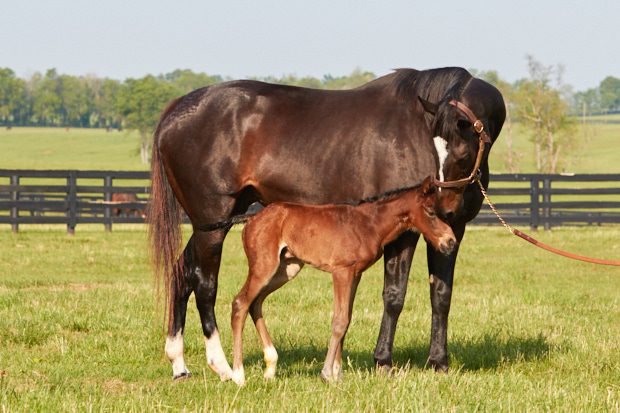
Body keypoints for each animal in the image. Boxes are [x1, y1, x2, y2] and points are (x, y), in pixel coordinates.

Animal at [231, 175, 456, 384]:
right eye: (431, 212)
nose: (451, 241)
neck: (370, 223)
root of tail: (251, 219)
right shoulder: (341, 272)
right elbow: (339, 320)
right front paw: (326, 373)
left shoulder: (355, 274)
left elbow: (346, 318)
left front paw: (337, 375)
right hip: (264, 267)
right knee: (241, 303)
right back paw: (238, 375)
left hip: (286, 269)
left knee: (255, 303)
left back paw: (270, 368)